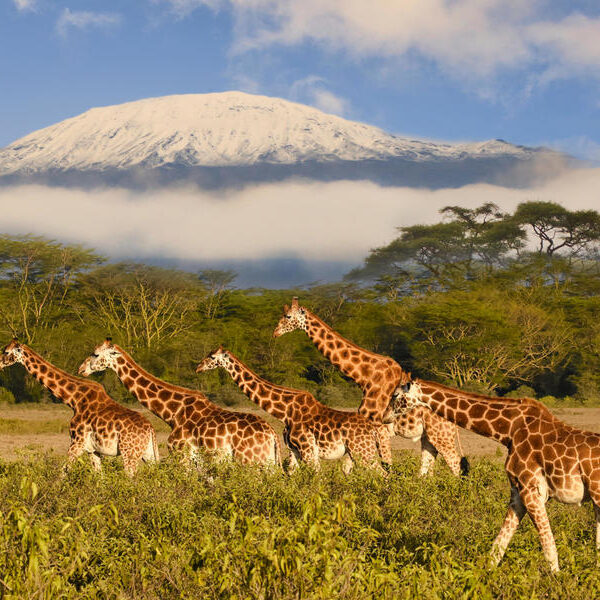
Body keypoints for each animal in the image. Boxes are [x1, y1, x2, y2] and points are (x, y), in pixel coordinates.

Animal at [0, 340, 157, 476]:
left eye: (6, 351)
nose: (0, 363)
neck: (74, 400)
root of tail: (150, 429)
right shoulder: (93, 450)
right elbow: (99, 477)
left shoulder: (76, 442)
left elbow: (62, 473)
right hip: (148, 455)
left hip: (129, 453)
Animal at [78, 340, 282, 466]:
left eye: (95, 354)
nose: (81, 369)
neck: (172, 412)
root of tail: (272, 435)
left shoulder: (181, 455)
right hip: (268, 463)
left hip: (249, 461)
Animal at [197, 346, 392, 474]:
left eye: (212, 357)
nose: (198, 367)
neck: (285, 411)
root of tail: (373, 428)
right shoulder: (295, 451)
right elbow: (292, 475)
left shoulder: (307, 449)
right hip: (360, 451)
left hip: (362, 451)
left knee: (382, 474)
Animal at [274, 298, 468, 476]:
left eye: (288, 316)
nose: (275, 333)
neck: (365, 376)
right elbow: (350, 467)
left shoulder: (378, 428)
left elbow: (381, 465)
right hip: (429, 436)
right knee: (429, 466)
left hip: (441, 434)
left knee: (455, 464)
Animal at [390, 378, 600, 576]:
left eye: (396, 395)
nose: (385, 416)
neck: (508, 430)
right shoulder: (517, 491)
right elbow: (498, 545)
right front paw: (484, 576)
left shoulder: (531, 489)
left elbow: (548, 546)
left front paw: (556, 579)